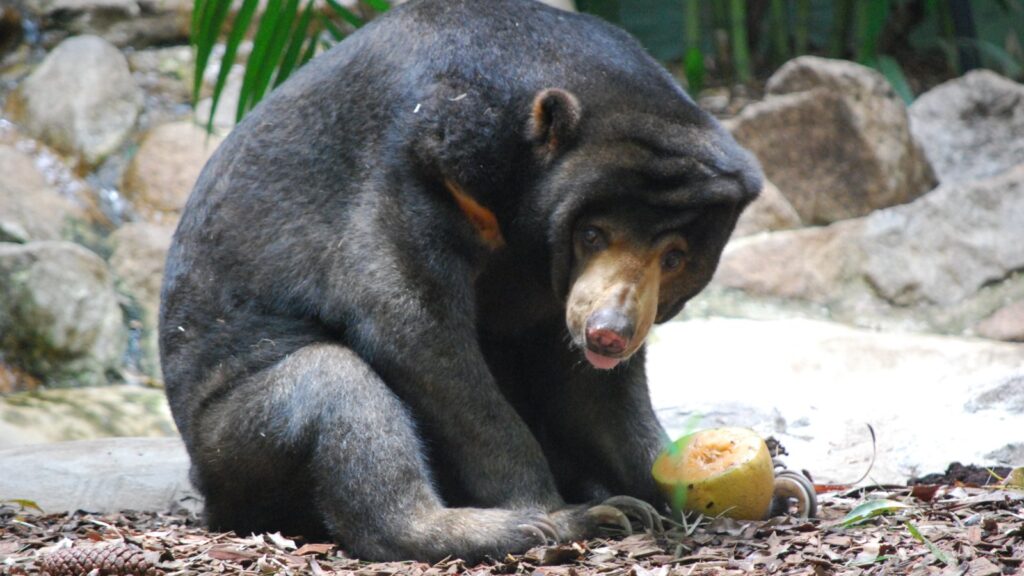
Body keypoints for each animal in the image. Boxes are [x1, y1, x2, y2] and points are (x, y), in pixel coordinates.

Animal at [159, 0, 762, 563]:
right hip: (232, 438)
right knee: (335, 387)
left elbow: (594, 390)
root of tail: (206, 489)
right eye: (592, 234)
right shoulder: (413, 170)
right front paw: (557, 512)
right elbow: (412, 325)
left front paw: (692, 487)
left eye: (676, 257)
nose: (607, 332)